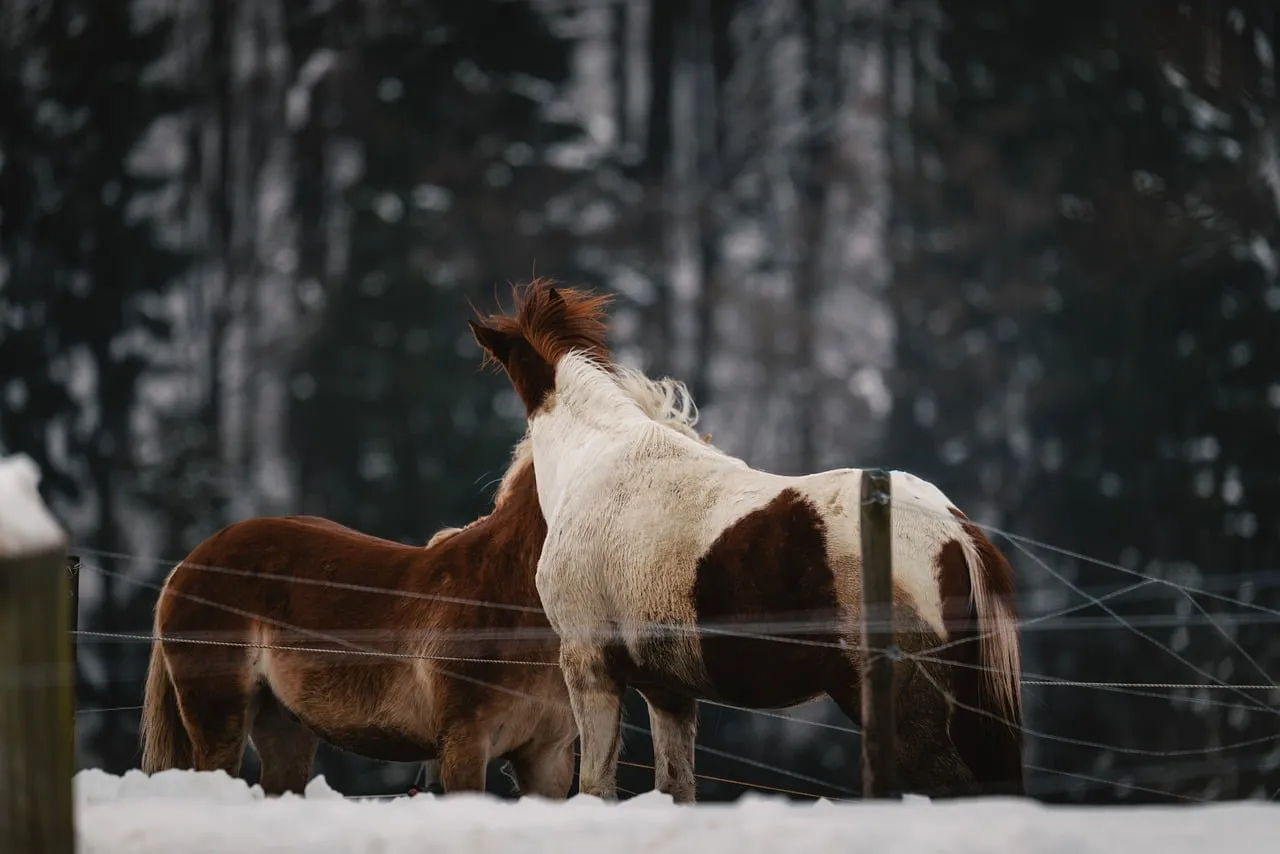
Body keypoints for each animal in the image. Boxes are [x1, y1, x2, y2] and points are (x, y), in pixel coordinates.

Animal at [138, 368, 707, 798]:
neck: (509, 602)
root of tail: (189, 563)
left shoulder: (547, 757)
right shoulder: (463, 746)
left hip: (284, 727)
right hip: (218, 718)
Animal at [467, 278, 1025, 803]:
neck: (598, 459)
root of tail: (956, 532)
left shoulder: (590, 666)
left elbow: (596, 787)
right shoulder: (667, 690)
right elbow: (677, 787)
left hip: (908, 714)